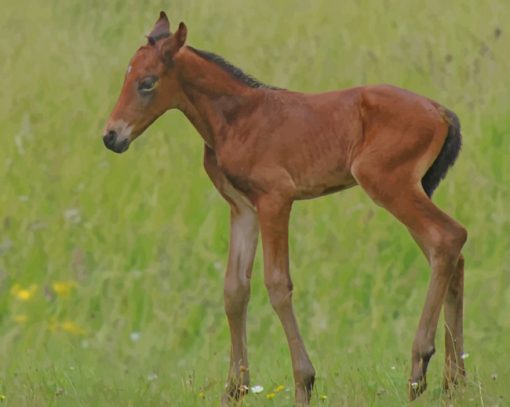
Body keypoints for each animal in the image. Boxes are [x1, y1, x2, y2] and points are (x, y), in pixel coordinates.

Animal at [102, 11, 466, 406]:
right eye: (126, 77)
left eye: (147, 82)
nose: (111, 136)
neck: (236, 118)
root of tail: (441, 112)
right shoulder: (242, 207)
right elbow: (235, 289)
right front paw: (235, 389)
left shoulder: (275, 199)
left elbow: (277, 284)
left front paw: (304, 382)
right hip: (416, 188)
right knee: (450, 255)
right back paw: (455, 380)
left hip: (387, 183)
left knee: (448, 237)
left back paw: (419, 365)